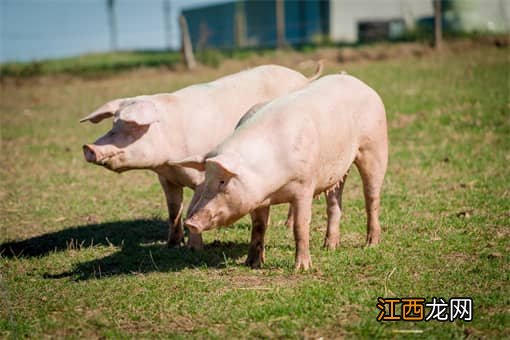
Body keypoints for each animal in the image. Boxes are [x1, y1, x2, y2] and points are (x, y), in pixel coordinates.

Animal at [79, 63, 322, 250]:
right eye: (113, 124)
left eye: (131, 127)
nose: (88, 147)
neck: (168, 159)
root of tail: (303, 77)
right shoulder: (166, 179)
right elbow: (173, 211)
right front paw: (171, 245)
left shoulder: (201, 177)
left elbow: (191, 208)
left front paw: (194, 248)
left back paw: (287, 225)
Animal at [173, 73, 388, 270]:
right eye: (206, 179)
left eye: (223, 182)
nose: (190, 222)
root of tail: (358, 82)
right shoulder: (257, 197)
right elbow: (259, 226)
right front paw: (252, 264)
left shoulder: (305, 185)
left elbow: (300, 226)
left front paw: (302, 268)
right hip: (338, 169)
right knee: (334, 203)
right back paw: (329, 247)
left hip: (375, 146)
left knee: (372, 197)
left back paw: (371, 244)